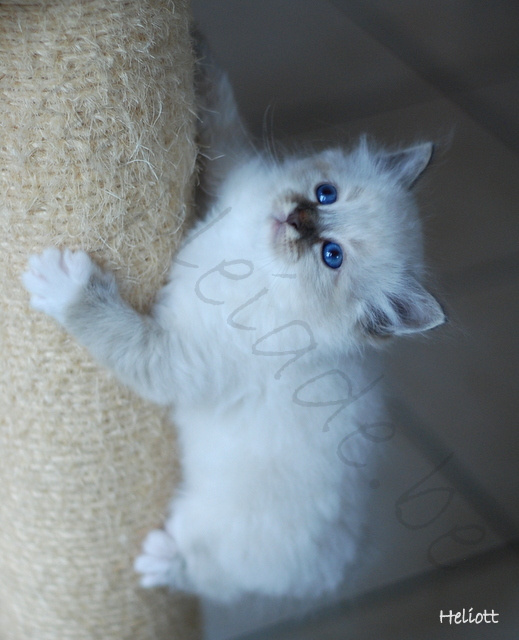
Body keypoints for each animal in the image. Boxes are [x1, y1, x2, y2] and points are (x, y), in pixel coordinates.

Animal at [22, 47, 446, 604]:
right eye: (325, 194)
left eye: (331, 256)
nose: (297, 220)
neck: (249, 259)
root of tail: (339, 564)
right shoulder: (235, 178)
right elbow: (221, 119)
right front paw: (199, 53)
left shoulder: (176, 360)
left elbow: (109, 325)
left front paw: (60, 284)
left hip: (229, 540)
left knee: (214, 577)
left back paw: (162, 561)